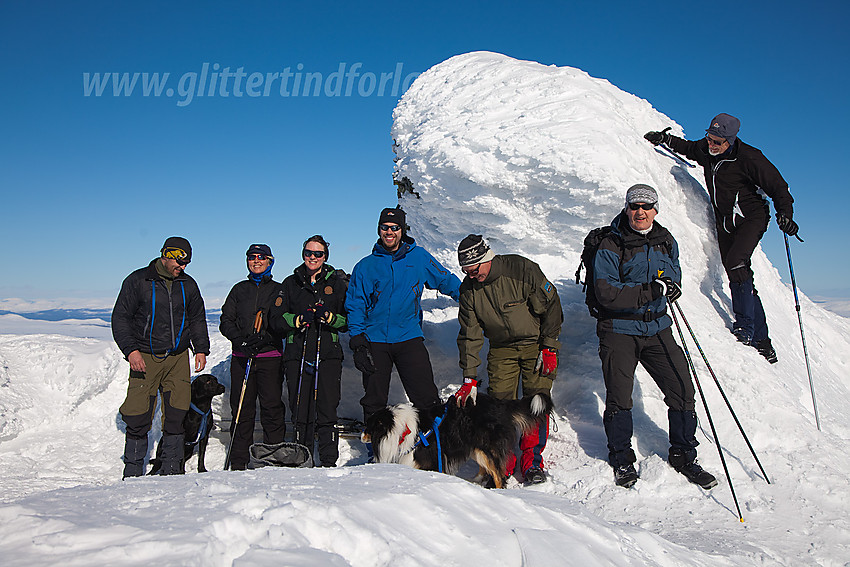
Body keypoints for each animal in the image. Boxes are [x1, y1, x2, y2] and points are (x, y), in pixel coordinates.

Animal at [362, 394, 552, 488]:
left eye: (369, 427)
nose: (361, 435)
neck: (401, 429)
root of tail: (501, 404)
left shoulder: (428, 461)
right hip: (476, 448)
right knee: (485, 469)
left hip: (486, 448)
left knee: (498, 475)